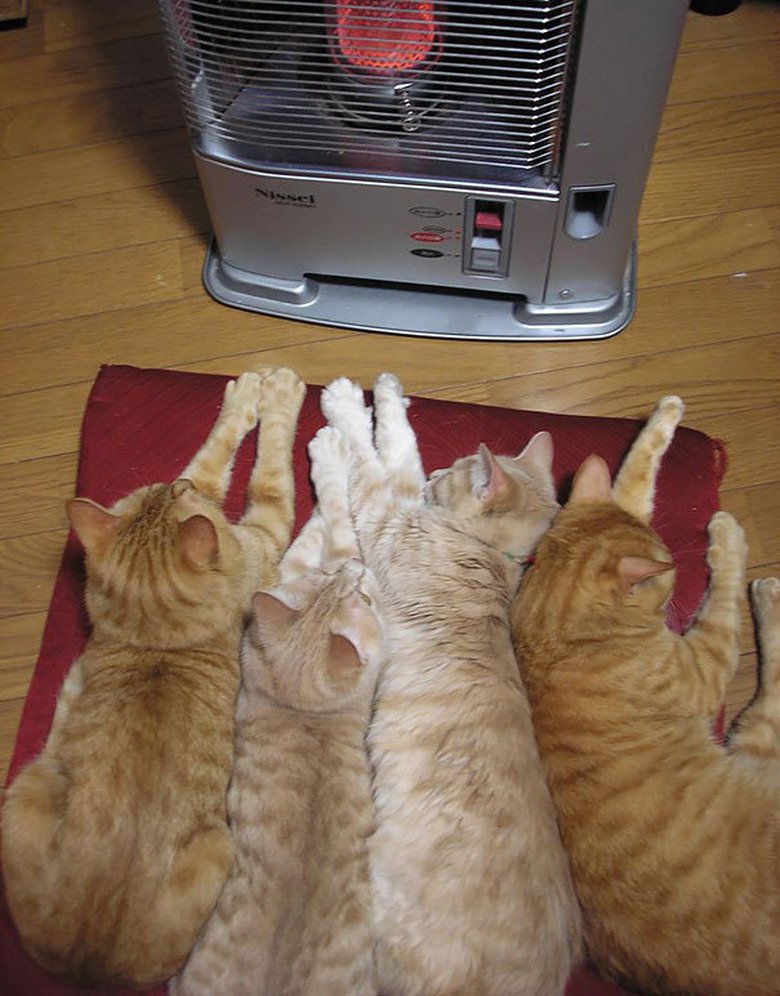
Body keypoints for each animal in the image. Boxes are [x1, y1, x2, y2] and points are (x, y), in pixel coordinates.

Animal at [0, 368, 304, 988]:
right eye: (175, 492)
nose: (175, 484)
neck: (155, 637)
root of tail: (85, 964)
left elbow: (214, 461)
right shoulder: (260, 530)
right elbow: (247, 467)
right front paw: (268, 394)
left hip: (26, 788)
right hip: (216, 850)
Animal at [512, 396, 780, 996]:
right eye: (671, 576)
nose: (678, 573)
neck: (554, 625)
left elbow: (633, 474)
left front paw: (665, 417)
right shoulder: (706, 662)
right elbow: (723, 597)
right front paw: (729, 543)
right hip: (753, 745)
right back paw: (769, 592)